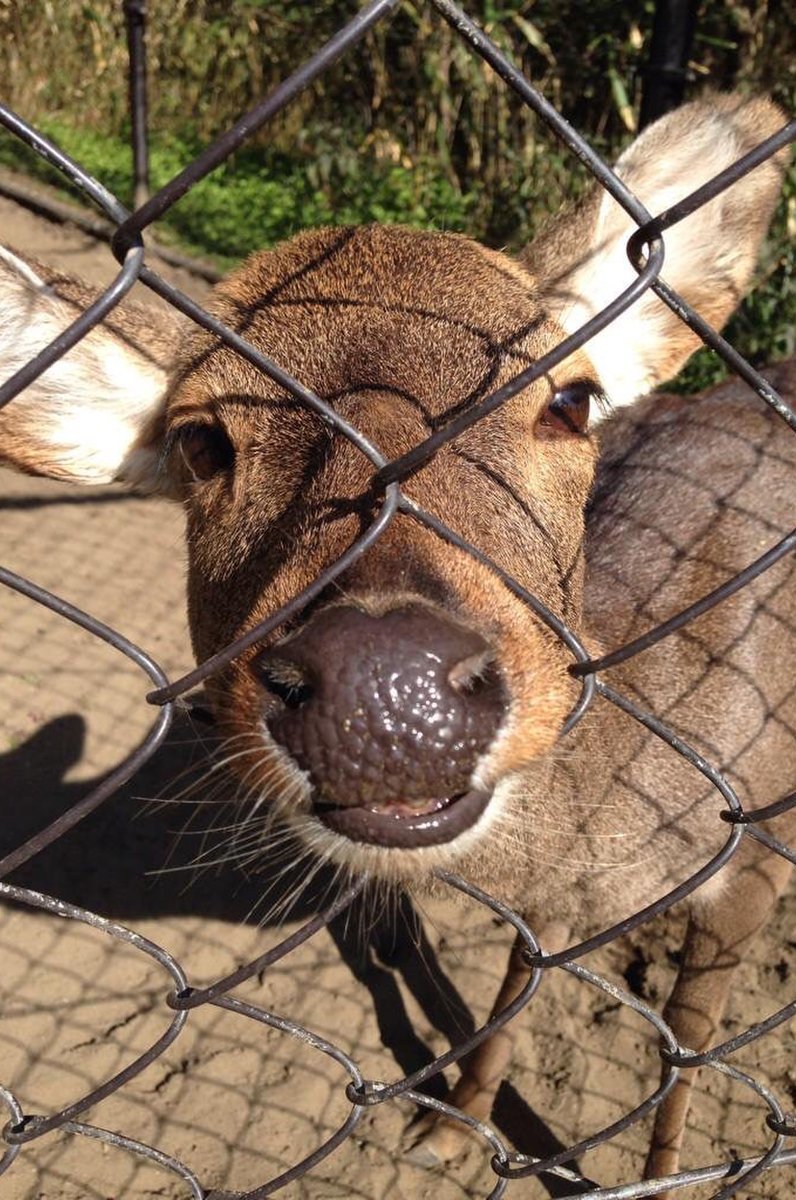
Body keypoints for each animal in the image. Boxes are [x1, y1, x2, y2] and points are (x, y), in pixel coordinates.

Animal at [1, 93, 796, 1190]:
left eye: (570, 398)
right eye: (200, 439)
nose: (381, 688)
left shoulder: (752, 857)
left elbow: (686, 1051)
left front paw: (673, 1178)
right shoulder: (555, 899)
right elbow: (519, 983)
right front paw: (455, 1128)